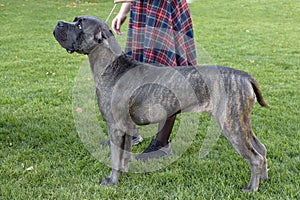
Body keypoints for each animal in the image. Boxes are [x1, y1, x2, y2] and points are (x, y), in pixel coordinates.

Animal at [54, 16, 270, 192]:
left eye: (79, 25)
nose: (58, 23)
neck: (111, 65)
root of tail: (244, 76)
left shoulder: (115, 127)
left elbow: (115, 157)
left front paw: (112, 180)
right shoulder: (126, 126)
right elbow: (125, 154)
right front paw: (125, 171)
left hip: (231, 125)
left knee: (255, 158)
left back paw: (251, 188)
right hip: (241, 123)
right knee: (261, 149)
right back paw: (264, 179)